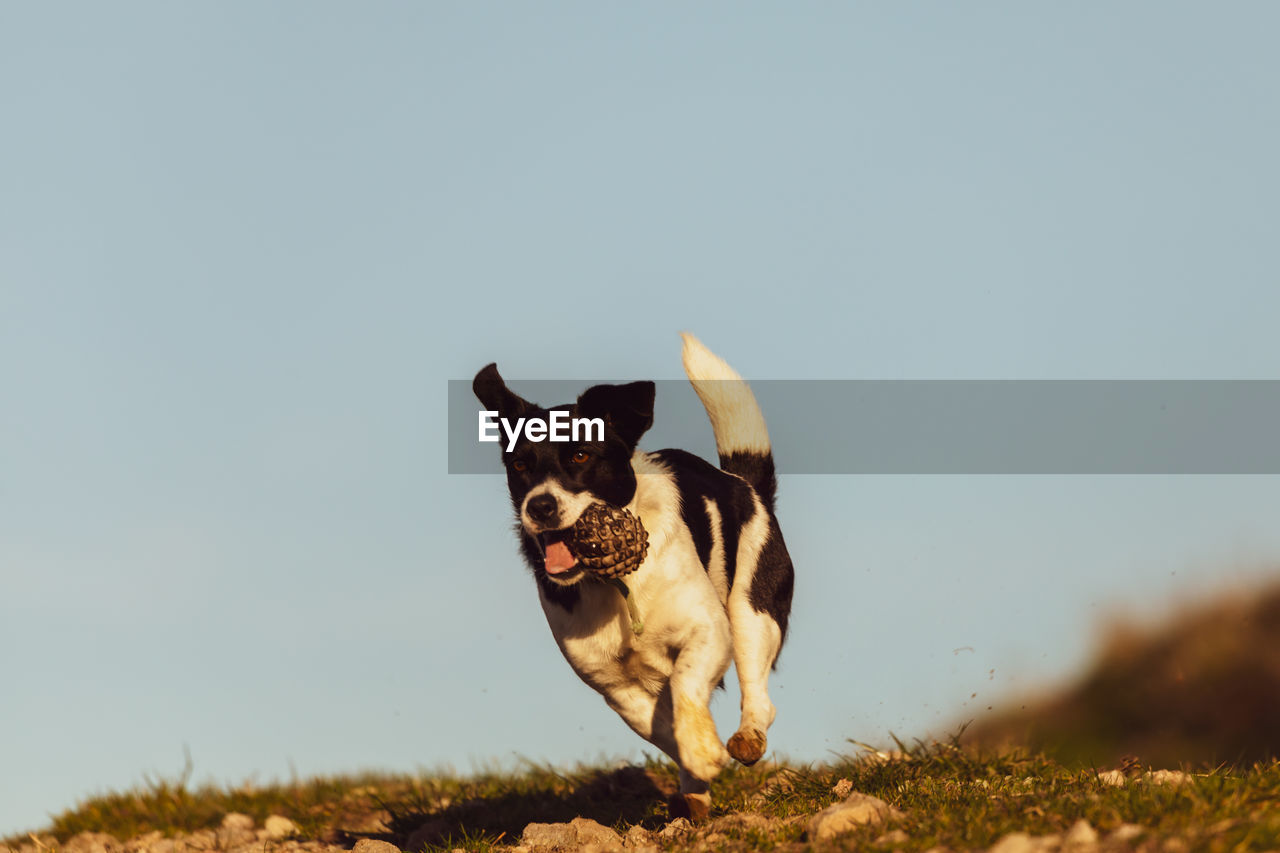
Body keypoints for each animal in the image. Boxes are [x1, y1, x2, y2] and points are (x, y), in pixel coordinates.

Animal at [471, 333, 788, 819]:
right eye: (520, 465)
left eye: (581, 454)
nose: (539, 506)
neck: (616, 587)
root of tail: (744, 483)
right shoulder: (612, 683)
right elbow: (659, 725)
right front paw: (697, 759)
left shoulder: (707, 630)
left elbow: (685, 681)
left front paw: (703, 749)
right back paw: (694, 794)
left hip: (753, 611)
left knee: (758, 695)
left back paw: (747, 737)